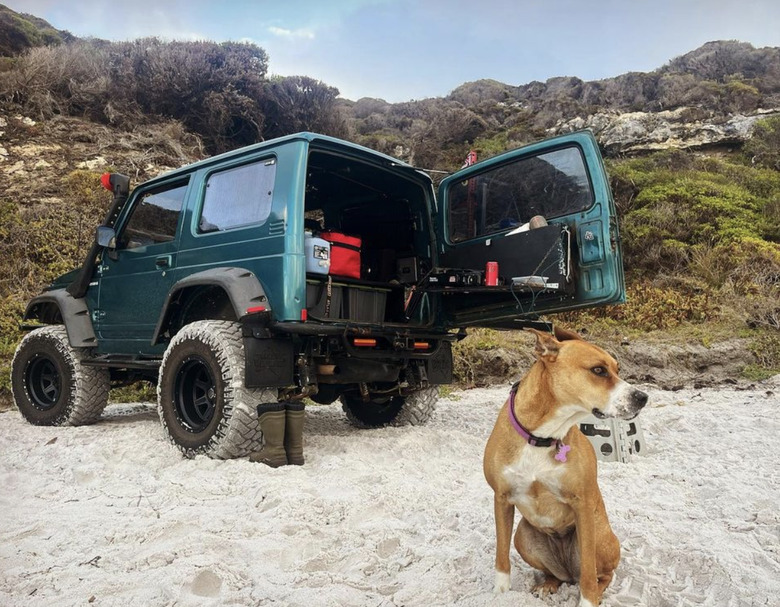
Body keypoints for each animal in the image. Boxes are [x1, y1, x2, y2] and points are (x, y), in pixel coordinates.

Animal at [484, 330, 648, 604]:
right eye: (598, 370)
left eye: (617, 369)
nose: (643, 397)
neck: (542, 435)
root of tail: (568, 571)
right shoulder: (502, 498)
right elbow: (501, 554)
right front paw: (500, 593)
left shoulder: (582, 505)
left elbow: (589, 576)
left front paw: (588, 602)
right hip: (523, 535)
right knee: (556, 574)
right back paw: (548, 584)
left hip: (598, 536)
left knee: (599, 575)